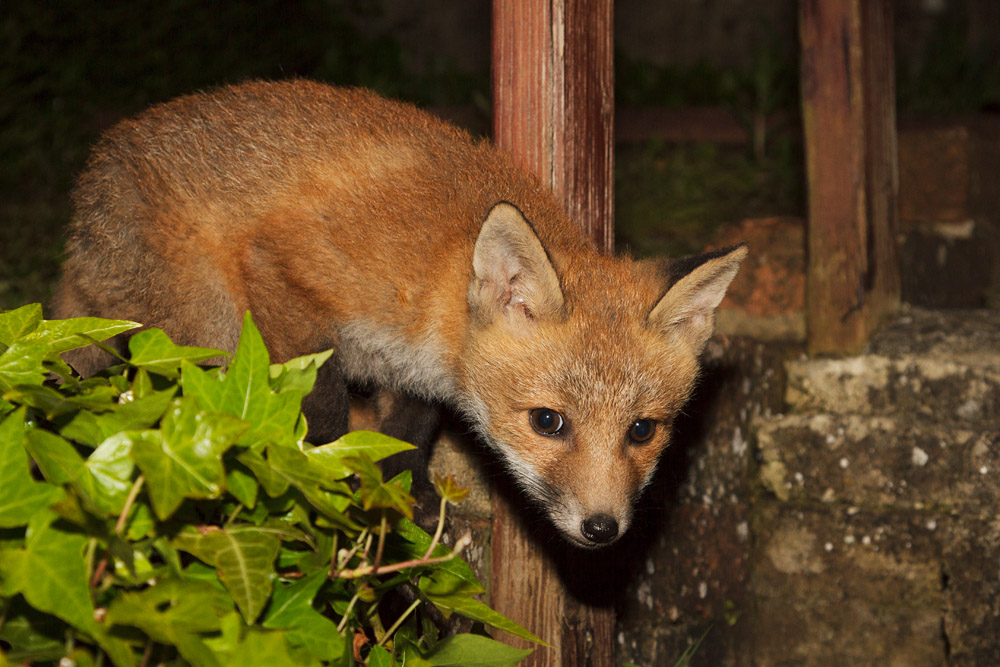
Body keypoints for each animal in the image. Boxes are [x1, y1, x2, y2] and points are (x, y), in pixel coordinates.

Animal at [52, 80, 746, 548]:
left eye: (642, 431)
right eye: (548, 422)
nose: (602, 529)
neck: (437, 283)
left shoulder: (420, 372)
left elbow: (409, 430)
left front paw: (408, 495)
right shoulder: (288, 272)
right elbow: (325, 403)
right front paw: (330, 478)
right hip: (209, 329)